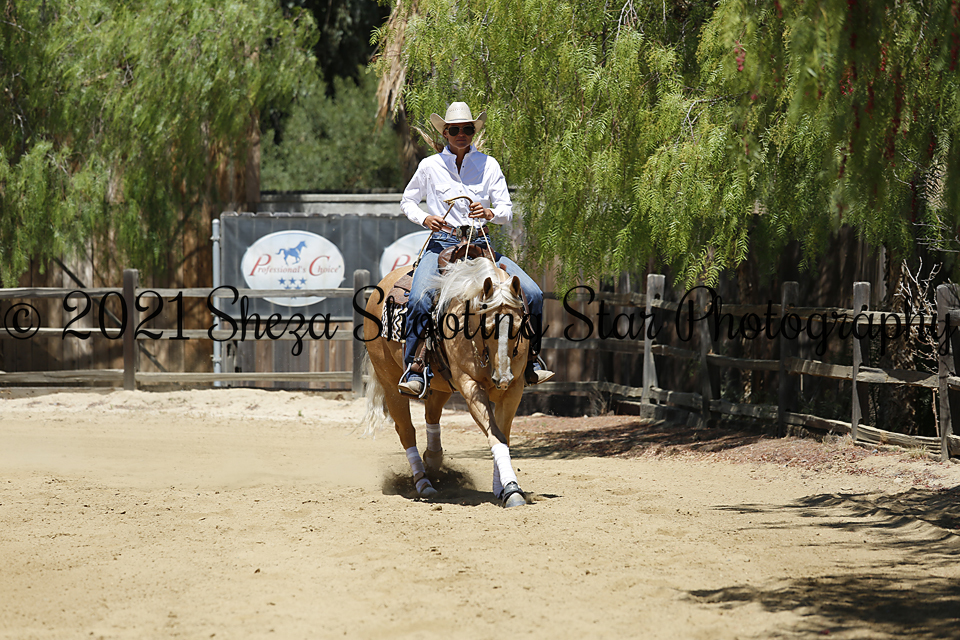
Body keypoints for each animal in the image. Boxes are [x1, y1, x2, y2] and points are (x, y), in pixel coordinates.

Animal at [363, 256, 530, 508]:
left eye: (519, 327)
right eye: (487, 328)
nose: (503, 378)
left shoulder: (514, 389)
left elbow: (503, 436)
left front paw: (501, 487)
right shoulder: (470, 386)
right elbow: (496, 436)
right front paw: (511, 490)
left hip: (441, 386)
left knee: (431, 417)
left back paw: (433, 461)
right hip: (390, 383)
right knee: (406, 430)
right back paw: (424, 483)